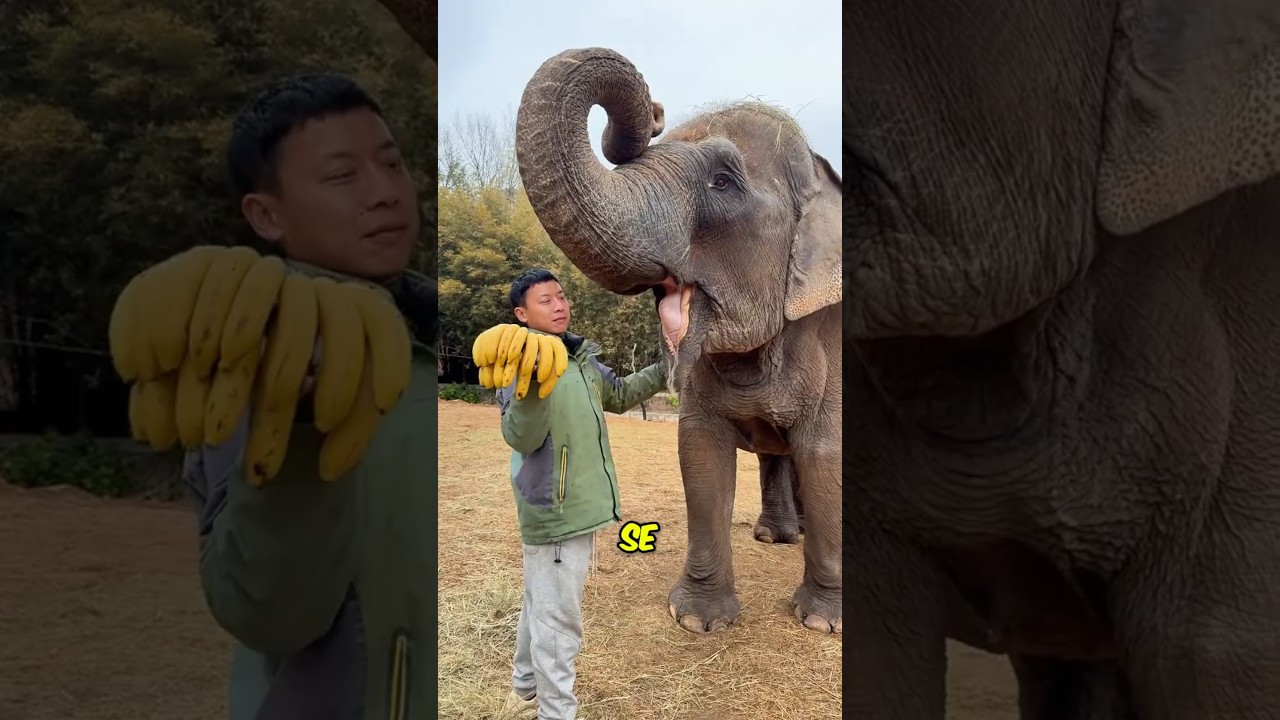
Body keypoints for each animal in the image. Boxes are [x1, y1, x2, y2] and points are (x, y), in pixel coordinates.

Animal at [513, 48, 842, 634]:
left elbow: (823, 453)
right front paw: (697, 620)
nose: (655, 113)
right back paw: (776, 536)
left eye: (723, 182)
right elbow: (701, 453)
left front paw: (823, 622)